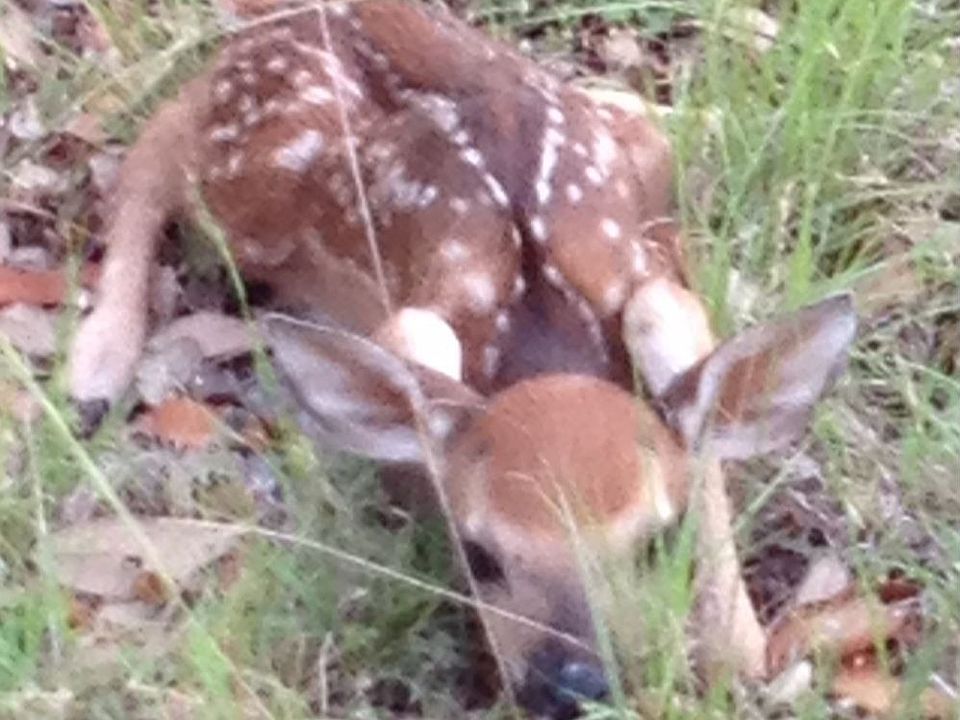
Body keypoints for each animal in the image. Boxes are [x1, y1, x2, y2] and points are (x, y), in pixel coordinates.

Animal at [67, 1, 859, 717]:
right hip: (254, 182)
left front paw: (740, 651)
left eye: (658, 544)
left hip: (632, 134)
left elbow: (670, 336)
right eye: (478, 554)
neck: (542, 326)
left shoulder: (657, 291)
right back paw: (95, 369)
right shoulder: (421, 318)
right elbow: (420, 355)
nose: (571, 686)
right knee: (162, 136)